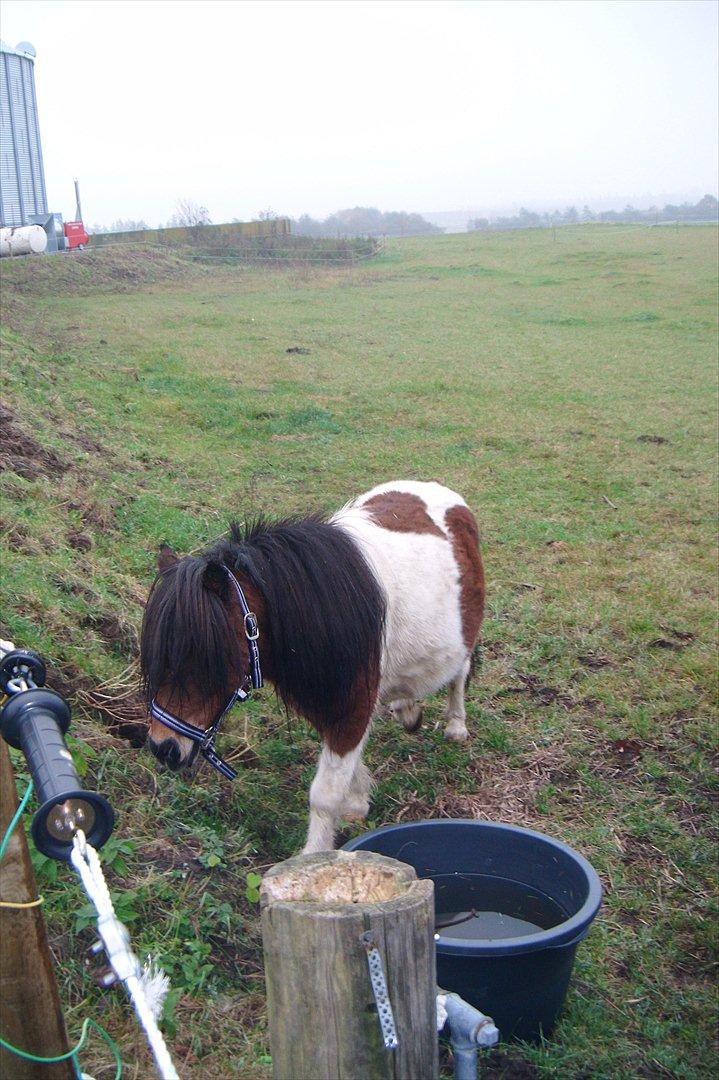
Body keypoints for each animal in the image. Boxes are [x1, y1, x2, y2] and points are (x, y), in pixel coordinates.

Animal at [139, 481, 481, 851]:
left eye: (206, 659)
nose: (163, 748)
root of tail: (435, 489)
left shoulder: (350, 706)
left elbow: (325, 796)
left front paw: (315, 856)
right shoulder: (333, 703)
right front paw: (358, 801)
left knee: (460, 672)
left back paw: (456, 724)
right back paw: (406, 708)